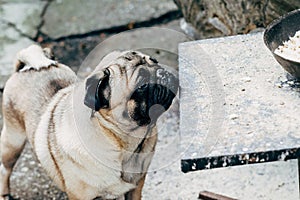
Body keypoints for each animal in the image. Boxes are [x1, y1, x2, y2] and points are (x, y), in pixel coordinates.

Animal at [0, 45, 178, 200]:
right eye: (142, 84)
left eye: (155, 61)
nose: (162, 71)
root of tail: (26, 68)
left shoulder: (135, 187)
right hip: (13, 142)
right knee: (5, 169)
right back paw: (4, 194)